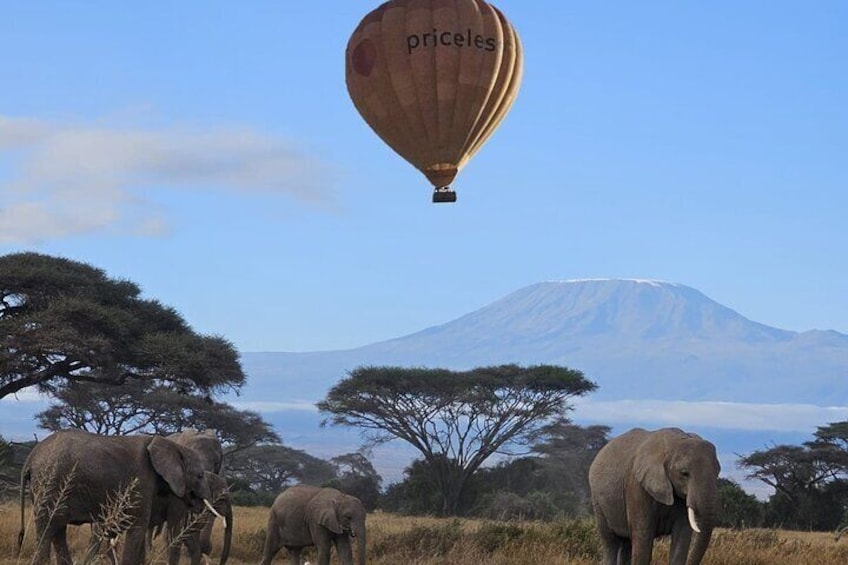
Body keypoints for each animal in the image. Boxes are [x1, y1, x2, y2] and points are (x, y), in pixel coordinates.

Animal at [18, 428, 222, 564]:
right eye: (200, 476)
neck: (172, 445)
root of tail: (31, 456)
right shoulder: (141, 480)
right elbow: (138, 528)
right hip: (51, 482)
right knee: (48, 528)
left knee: (57, 529)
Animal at [588, 428, 724, 564]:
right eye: (684, 473)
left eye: (717, 473)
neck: (675, 442)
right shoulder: (637, 486)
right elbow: (643, 540)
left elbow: (681, 540)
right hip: (598, 501)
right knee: (610, 542)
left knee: (626, 543)